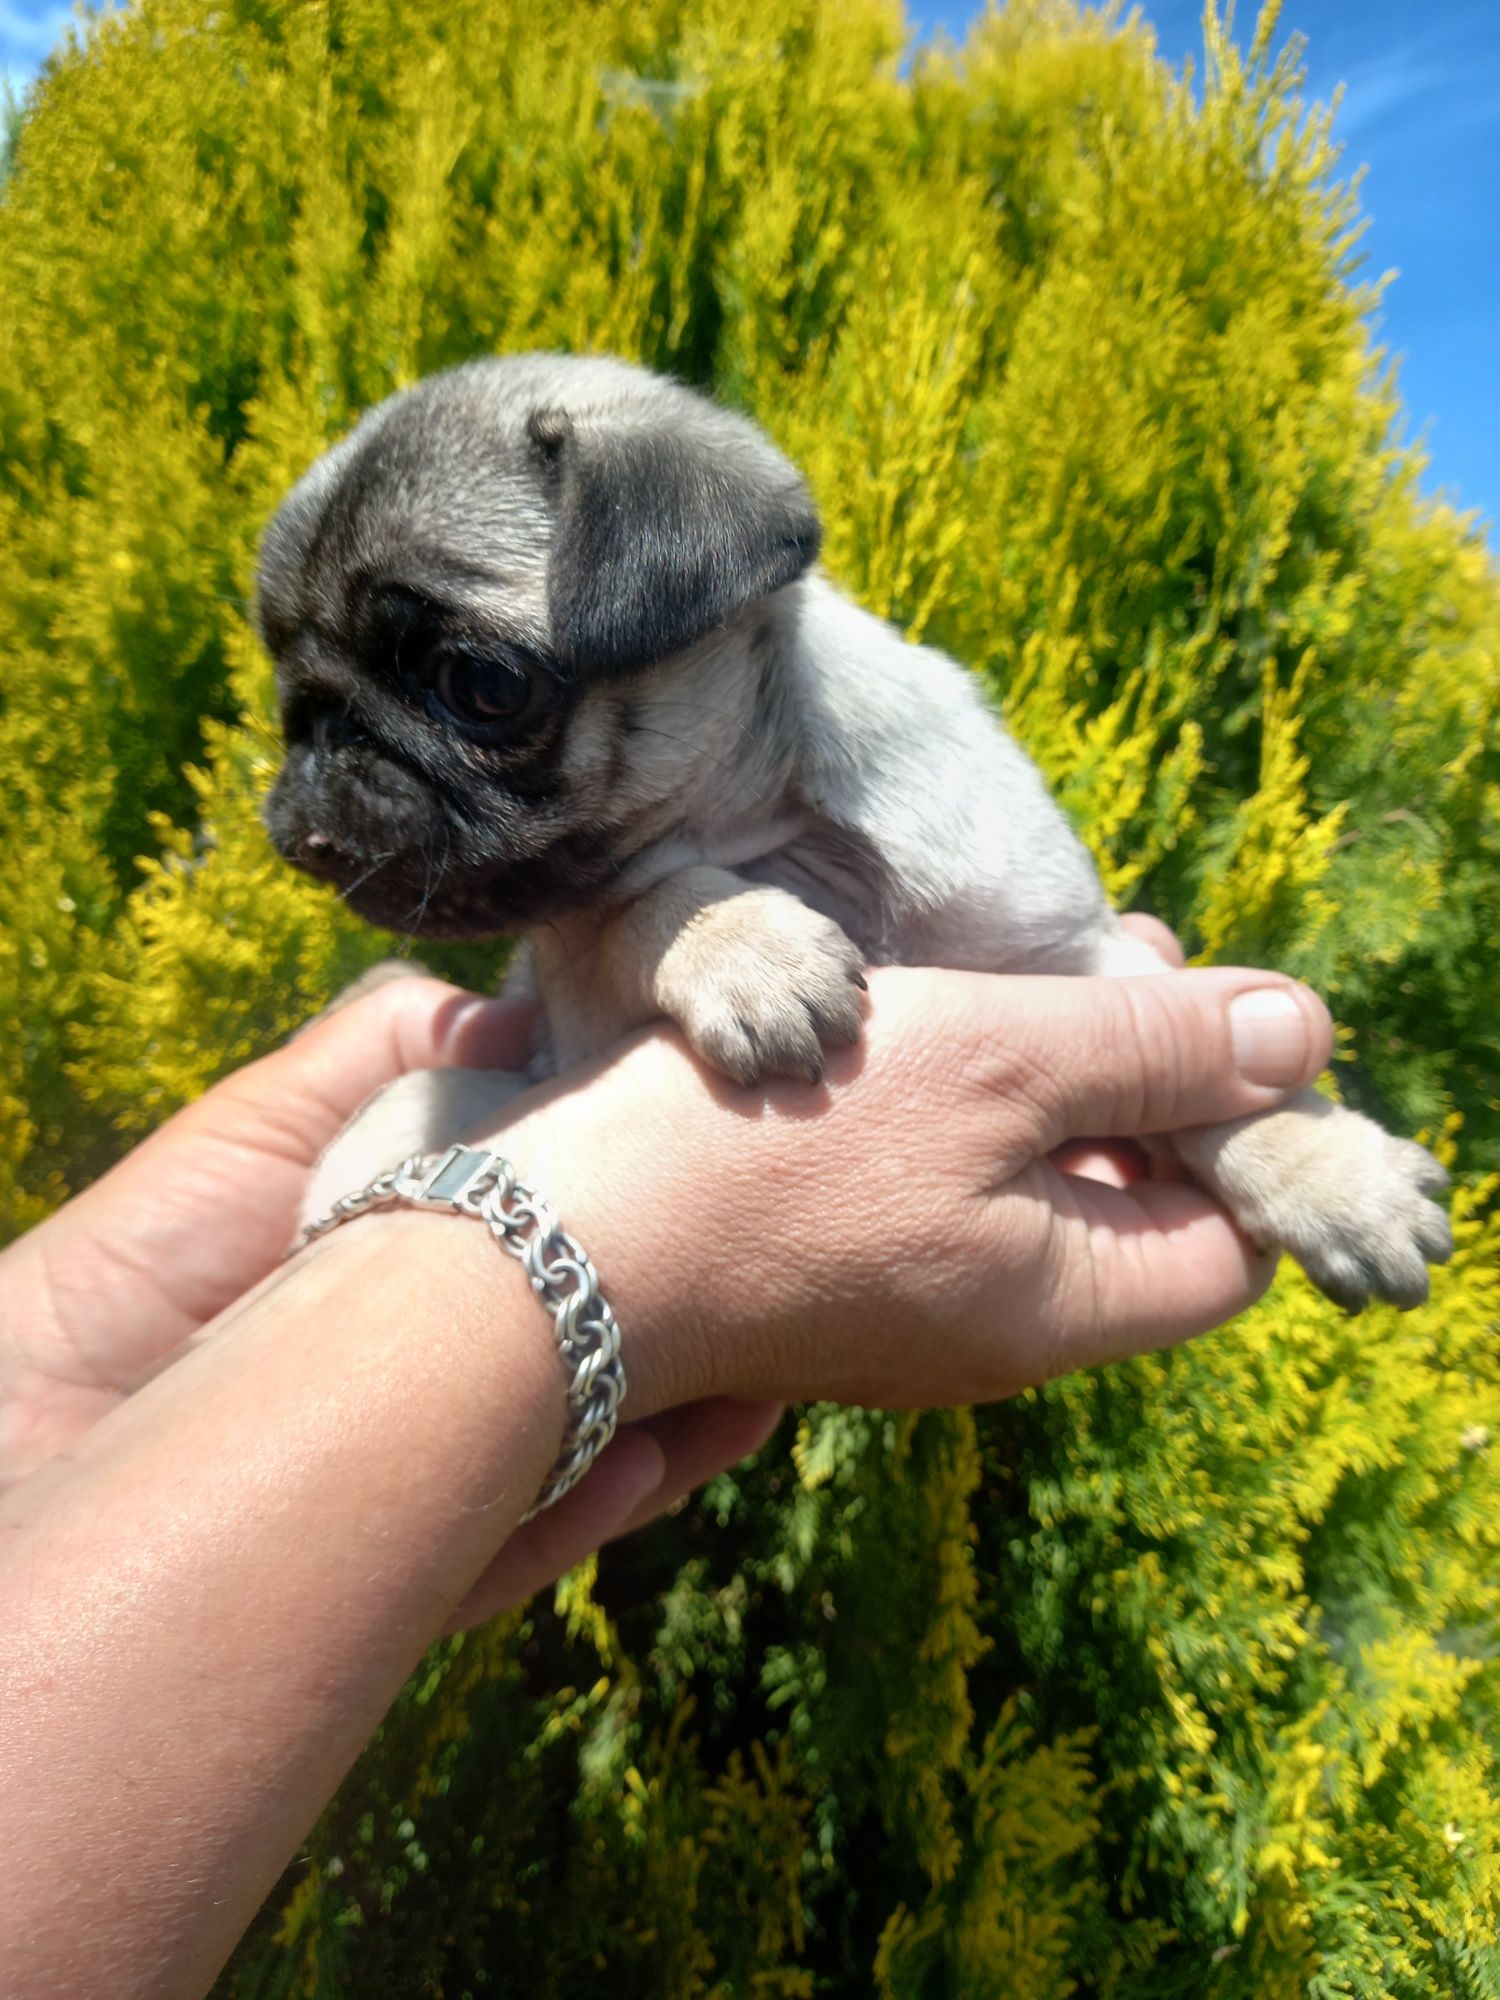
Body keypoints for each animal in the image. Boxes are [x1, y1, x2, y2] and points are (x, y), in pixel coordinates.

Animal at [258, 348, 1456, 1312]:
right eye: (290, 705)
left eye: (481, 685)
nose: (316, 768)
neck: (783, 823)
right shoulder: (584, 982)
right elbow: (641, 894)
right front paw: (747, 947)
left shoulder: (1074, 951)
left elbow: (1218, 1078)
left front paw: (1330, 1174)